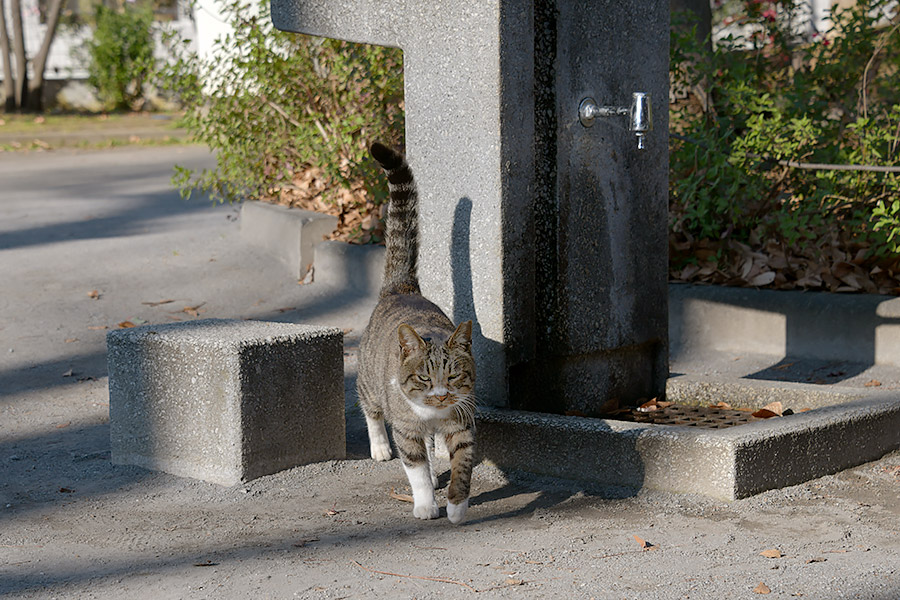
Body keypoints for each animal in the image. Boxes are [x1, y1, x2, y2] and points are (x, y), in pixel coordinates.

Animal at [356, 143, 478, 524]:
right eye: (424, 377)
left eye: (453, 375)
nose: (439, 395)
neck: (433, 413)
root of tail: (401, 288)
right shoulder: (406, 428)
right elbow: (416, 469)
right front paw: (426, 505)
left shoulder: (462, 423)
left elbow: (462, 465)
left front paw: (456, 506)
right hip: (370, 379)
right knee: (370, 407)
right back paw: (380, 445)